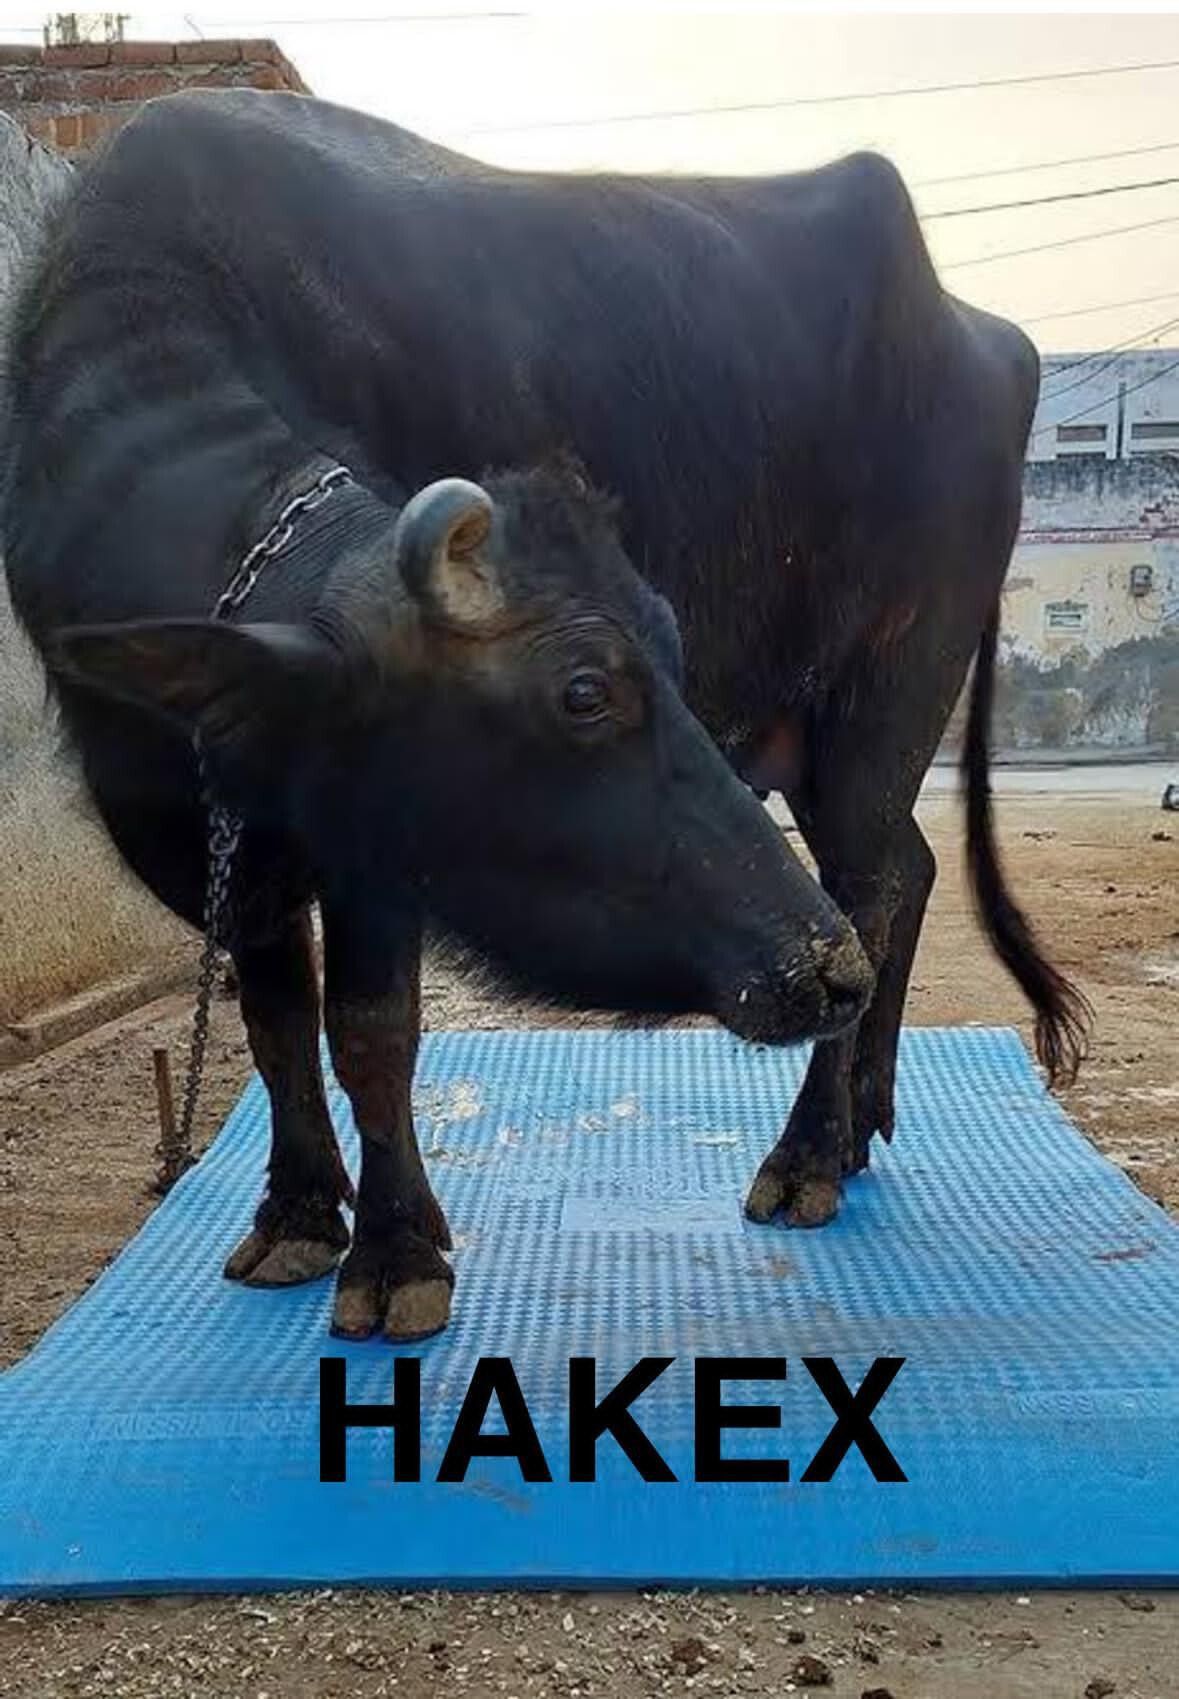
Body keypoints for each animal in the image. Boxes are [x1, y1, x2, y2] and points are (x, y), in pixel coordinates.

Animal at [3, 89, 1088, 1340]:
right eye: (584, 691)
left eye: (654, 659)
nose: (813, 970)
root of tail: (982, 340)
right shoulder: (211, 828)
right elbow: (273, 1020)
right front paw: (297, 1218)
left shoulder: (378, 852)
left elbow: (371, 1029)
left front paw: (395, 1256)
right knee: (907, 872)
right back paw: (859, 1118)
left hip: (890, 694)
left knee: (869, 881)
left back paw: (808, 1152)